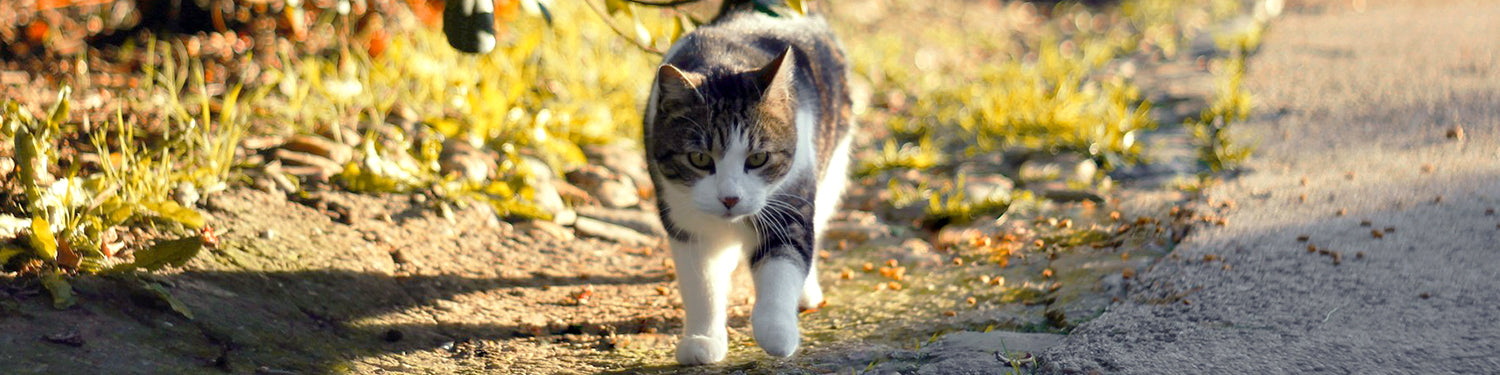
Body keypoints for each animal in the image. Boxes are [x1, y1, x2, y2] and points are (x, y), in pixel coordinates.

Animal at [645, 0, 858, 364]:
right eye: (699, 159)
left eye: (758, 158)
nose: (730, 199)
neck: (723, 59)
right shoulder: (686, 221)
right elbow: (702, 284)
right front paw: (703, 338)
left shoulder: (790, 200)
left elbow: (782, 267)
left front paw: (777, 331)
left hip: (832, 162)